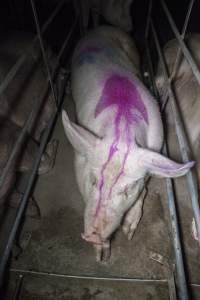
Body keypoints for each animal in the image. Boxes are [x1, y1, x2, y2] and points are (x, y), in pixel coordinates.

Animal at [62, 25, 194, 260]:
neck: (122, 132)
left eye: (128, 189)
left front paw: (129, 233)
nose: (92, 236)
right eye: (94, 180)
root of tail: (102, 27)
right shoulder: (80, 160)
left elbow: (145, 190)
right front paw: (101, 256)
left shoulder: (153, 149)